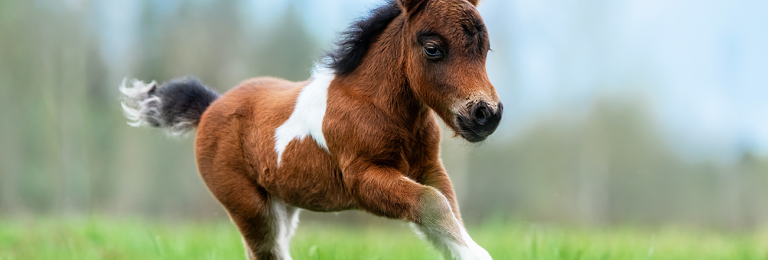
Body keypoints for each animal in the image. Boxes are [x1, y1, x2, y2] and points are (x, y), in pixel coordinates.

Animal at [118, 0, 504, 258]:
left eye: (485, 48)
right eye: (433, 48)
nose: (486, 114)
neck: (377, 106)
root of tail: (210, 106)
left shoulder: (428, 168)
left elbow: (445, 208)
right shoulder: (363, 178)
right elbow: (432, 204)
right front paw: (476, 253)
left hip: (283, 204)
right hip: (248, 205)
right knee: (265, 251)